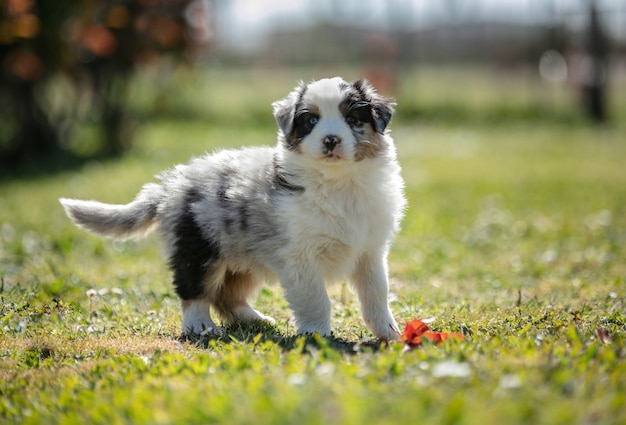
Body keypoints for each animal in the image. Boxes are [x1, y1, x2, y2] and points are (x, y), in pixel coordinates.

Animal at [61, 77, 404, 338]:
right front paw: (317, 335)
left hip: (241, 258)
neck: (339, 183)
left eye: (353, 119)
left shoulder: (370, 251)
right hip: (199, 248)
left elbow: (377, 293)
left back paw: (255, 320)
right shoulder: (300, 257)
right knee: (193, 290)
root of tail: (170, 185)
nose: (331, 140)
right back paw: (201, 326)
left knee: (227, 295)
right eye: (310, 121)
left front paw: (389, 332)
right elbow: (316, 299)